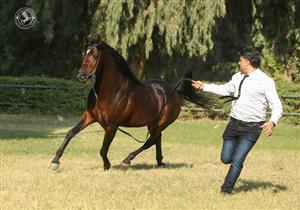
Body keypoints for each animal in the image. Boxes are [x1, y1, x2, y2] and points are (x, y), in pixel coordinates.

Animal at [49, 36, 209, 171]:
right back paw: (159, 162)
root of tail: (174, 90)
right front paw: (55, 162)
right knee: (156, 139)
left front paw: (107, 166)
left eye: (94, 54)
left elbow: (103, 150)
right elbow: (70, 133)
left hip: (161, 124)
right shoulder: (89, 116)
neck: (111, 92)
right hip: (153, 123)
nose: (81, 76)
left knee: (149, 141)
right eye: (84, 53)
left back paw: (127, 160)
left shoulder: (111, 127)